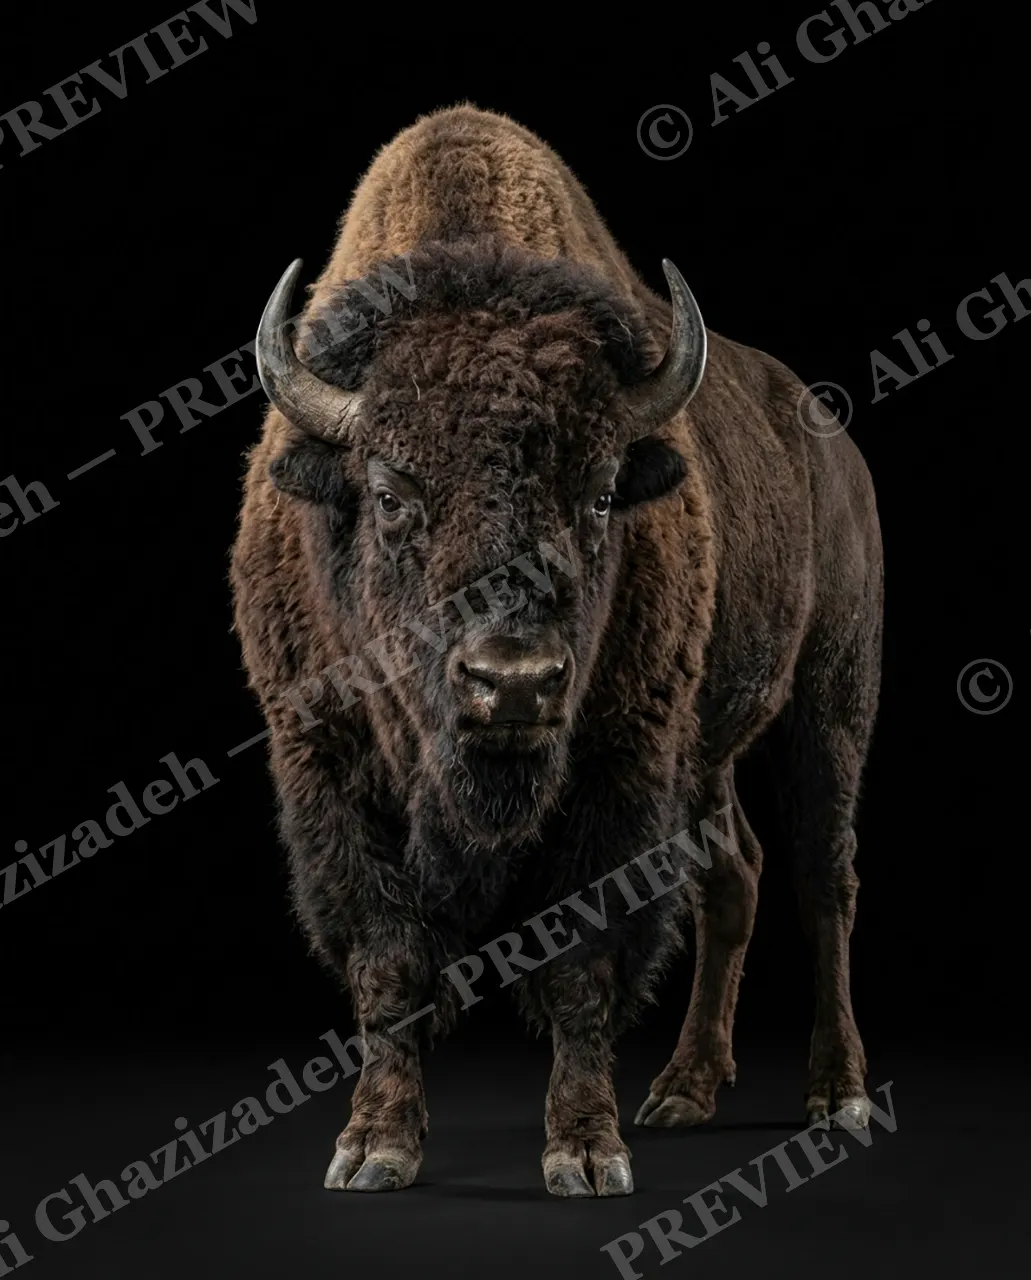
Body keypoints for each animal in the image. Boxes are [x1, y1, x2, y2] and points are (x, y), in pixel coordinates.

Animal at [230, 104, 883, 1197]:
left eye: (601, 491)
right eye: (392, 494)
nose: (514, 683)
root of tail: (832, 443)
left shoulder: (616, 769)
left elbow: (582, 955)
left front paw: (585, 1149)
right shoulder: (329, 768)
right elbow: (386, 961)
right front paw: (374, 1147)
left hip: (830, 704)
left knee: (819, 878)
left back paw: (838, 1095)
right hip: (705, 751)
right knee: (736, 875)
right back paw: (683, 1088)